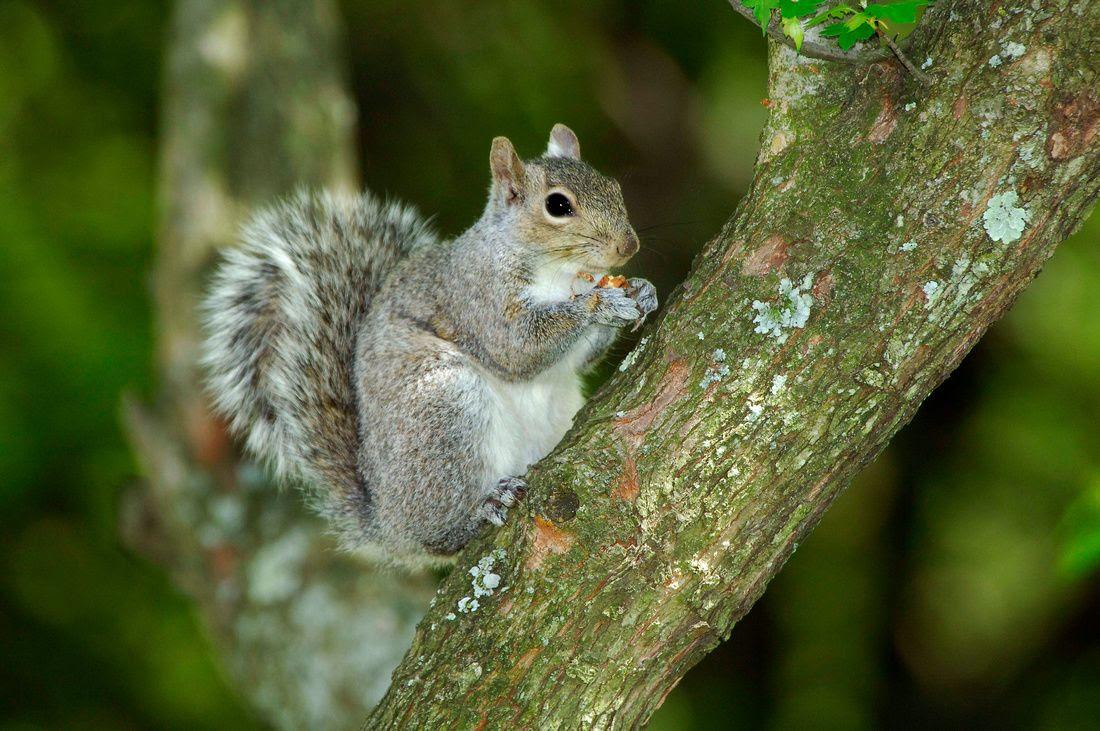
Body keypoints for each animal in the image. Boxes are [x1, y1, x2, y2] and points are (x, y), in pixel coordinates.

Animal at [201, 124, 657, 564]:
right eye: (558, 206)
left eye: (613, 186)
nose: (629, 246)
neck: (561, 274)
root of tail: (386, 523)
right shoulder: (476, 299)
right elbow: (517, 349)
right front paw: (600, 304)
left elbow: (582, 359)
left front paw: (641, 291)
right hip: (443, 410)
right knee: (439, 537)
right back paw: (479, 510)